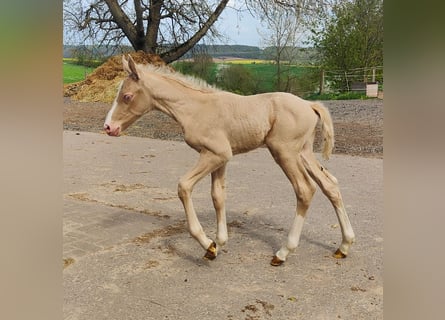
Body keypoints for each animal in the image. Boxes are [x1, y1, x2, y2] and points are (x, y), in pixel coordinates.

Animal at [103, 55, 354, 264]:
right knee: (330, 184)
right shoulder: (220, 158)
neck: (195, 108)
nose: (108, 127)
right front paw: (220, 241)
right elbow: (218, 196)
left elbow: (184, 186)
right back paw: (344, 245)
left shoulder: (216, 154)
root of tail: (310, 105)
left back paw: (283, 252)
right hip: (304, 152)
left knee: (305, 189)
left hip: (284, 152)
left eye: (126, 96)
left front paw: (208, 245)